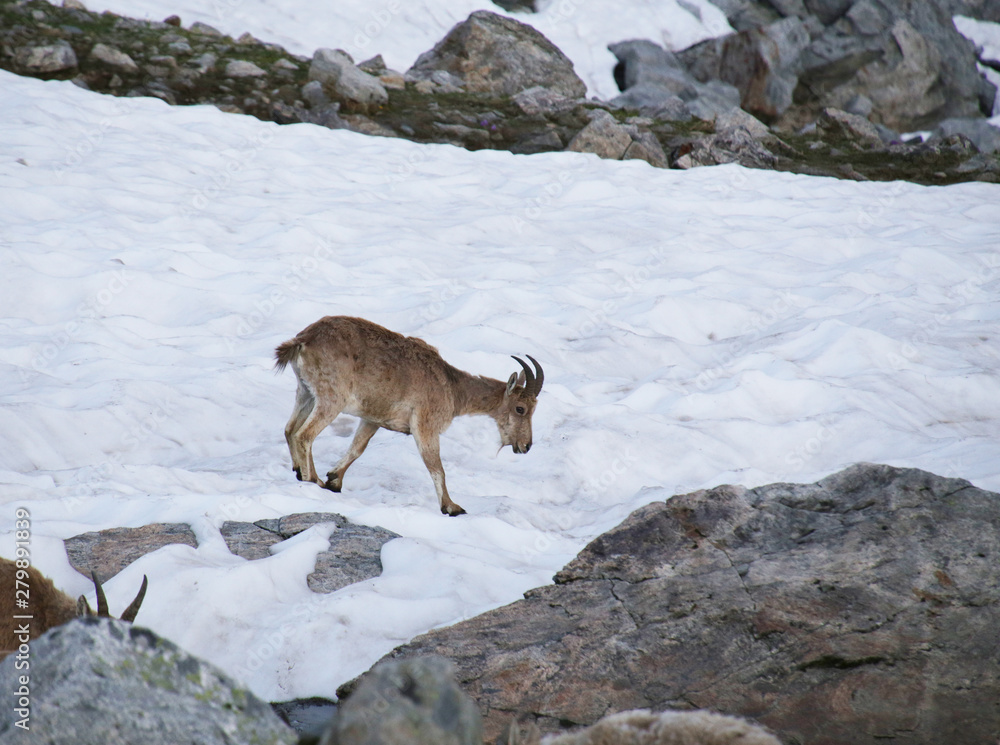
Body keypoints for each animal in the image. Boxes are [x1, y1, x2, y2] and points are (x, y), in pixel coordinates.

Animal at [275, 316, 543, 516]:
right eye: (520, 408)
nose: (526, 446)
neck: (453, 389)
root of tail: (303, 340)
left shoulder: (372, 419)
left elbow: (357, 448)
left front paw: (334, 480)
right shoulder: (425, 425)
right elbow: (437, 467)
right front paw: (451, 507)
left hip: (306, 392)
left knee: (290, 429)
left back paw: (300, 471)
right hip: (331, 398)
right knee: (304, 435)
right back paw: (312, 481)